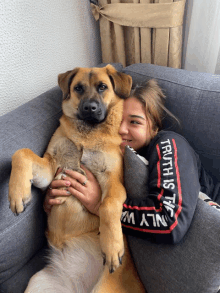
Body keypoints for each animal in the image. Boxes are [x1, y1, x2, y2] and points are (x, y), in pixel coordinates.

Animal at [8, 65, 145, 290]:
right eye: (78, 88)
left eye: (102, 87)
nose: (90, 108)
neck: (87, 134)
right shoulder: (52, 169)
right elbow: (22, 152)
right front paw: (18, 194)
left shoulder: (114, 182)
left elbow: (108, 205)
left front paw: (112, 246)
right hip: (37, 283)